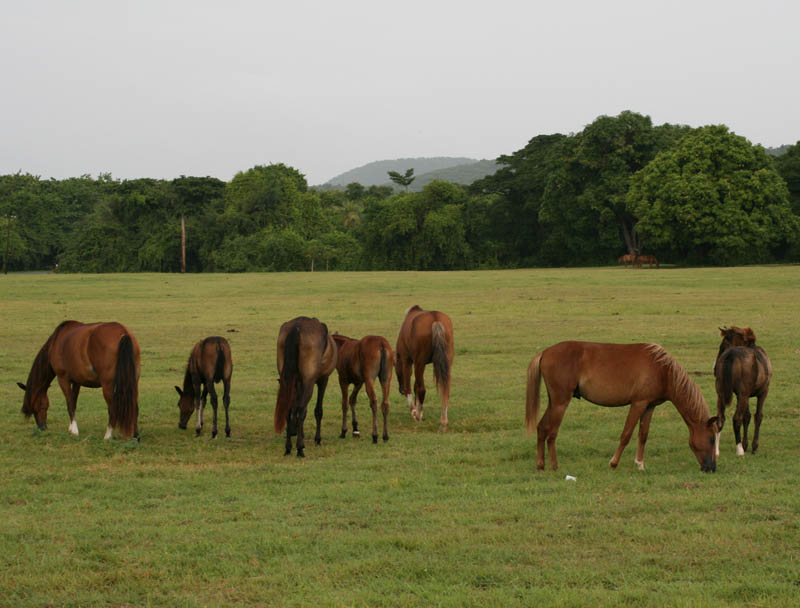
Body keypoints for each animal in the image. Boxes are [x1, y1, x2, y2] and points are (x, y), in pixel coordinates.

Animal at [276, 318, 338, 456]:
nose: (292, 431)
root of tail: (296, 326)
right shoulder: (323, 380)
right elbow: (317, 410)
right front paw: (317, 439)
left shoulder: (298, 383)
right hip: (309, 382)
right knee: (301, 410)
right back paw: (299, 449)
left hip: (288, 380)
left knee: (290, 408)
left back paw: (288, 448)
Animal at [524, 340, 720, 472]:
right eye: (711, 439)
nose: (711, 468)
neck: (663, 370)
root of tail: (545, 352)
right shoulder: (638, 404)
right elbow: (626, 434)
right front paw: (614, 463)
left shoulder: (649, 406)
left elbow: (643, 435)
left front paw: (640, 464)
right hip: (561, 402)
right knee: (551, 433)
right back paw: (555, 466)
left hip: (554, 402)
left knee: (542, 428)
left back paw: (540, 465)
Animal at [716, 328, 772, 456]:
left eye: (722, 346)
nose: (714, 368)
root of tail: (731, 355)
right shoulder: (763, 392)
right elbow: (758, 416)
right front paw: (753, 446)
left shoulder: (743, 395)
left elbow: (747, 417)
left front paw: (746, 444)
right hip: (743, 395)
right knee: (736, 418)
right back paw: (739, 450)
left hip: (722, 394)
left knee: (720, 418)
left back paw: (716, 450)